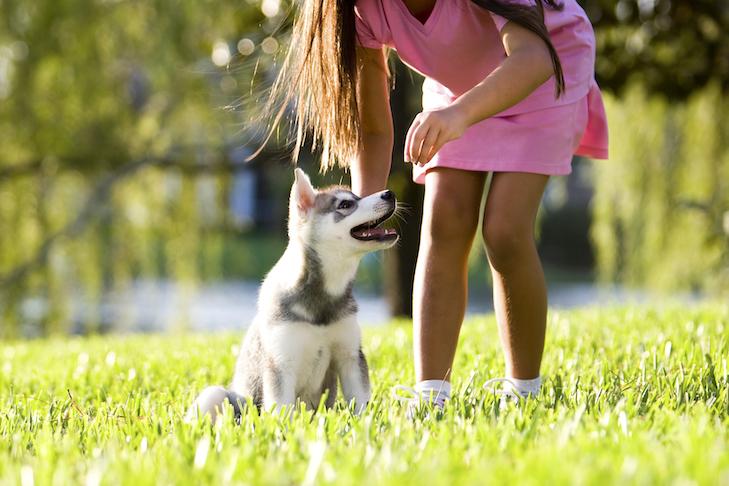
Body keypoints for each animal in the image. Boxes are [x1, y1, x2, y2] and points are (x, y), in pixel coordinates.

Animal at [183, 168, 398, 422]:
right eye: (345, 204)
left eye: (356, 197)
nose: (389, 193)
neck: (322, 294)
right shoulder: (281, 362)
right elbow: (282, 409)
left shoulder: (351, 356)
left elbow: (360, 401)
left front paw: (364, 424)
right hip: (217, 396)